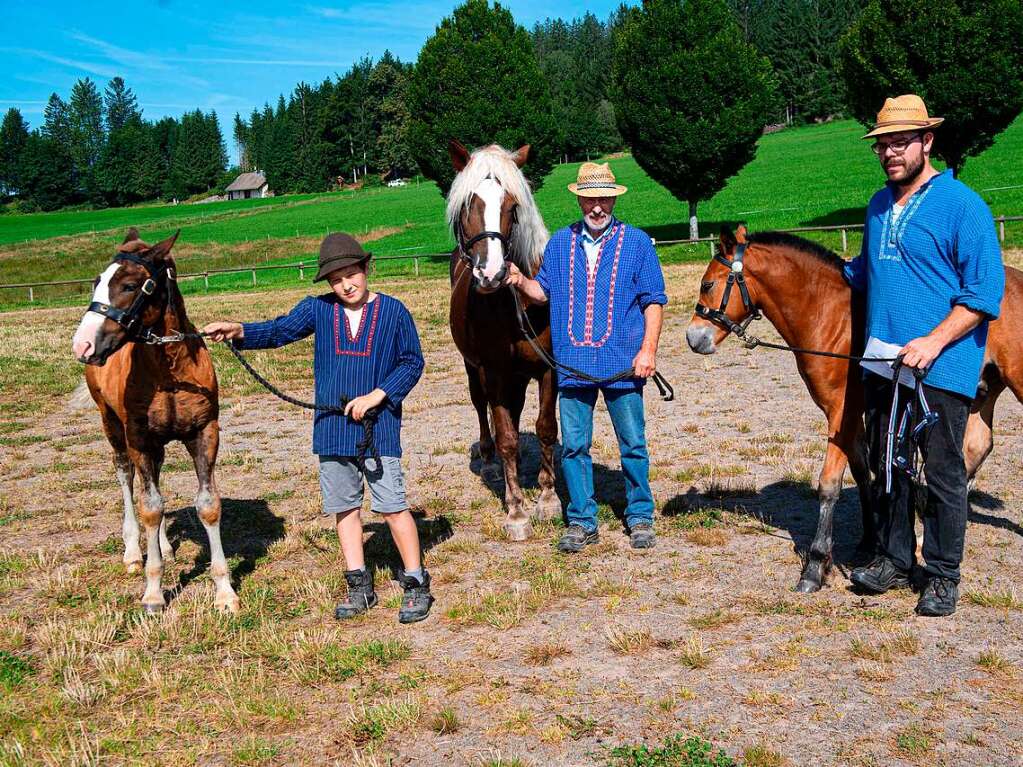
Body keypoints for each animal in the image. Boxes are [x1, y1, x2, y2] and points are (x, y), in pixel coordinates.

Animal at [72, 230, 239, 617]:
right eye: (96, 282)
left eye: (130, 285)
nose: (82, 344)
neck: (171, 370)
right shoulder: (138, 436)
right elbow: (148, 507)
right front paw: (152, 593)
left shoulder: (204, 433)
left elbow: (207, 505)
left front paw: (224, 593)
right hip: (112, 425)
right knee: (126, 476)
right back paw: (135, 552)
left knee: (157, 484)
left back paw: (163, 545)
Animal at [446, 143, 560, 539]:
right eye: (467, 206)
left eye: (513, 207)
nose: (491, 273)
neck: (517, 303)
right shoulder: (493, 372)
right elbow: (507, 436)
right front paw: (516, 511)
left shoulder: (548, 369)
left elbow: (545, 428)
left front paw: (548, 498)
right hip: (474, 368)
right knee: (483, 408)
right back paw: (489, 459)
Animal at [687, 224, 1023, 593]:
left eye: (708, 284)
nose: (694, 337)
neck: (830, 318)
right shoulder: (853, 416)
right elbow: (865, 471)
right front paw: (871, 541)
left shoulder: (841, 413)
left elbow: (830, 484)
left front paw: (816, 565)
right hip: (983, 392)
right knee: (977, 447)